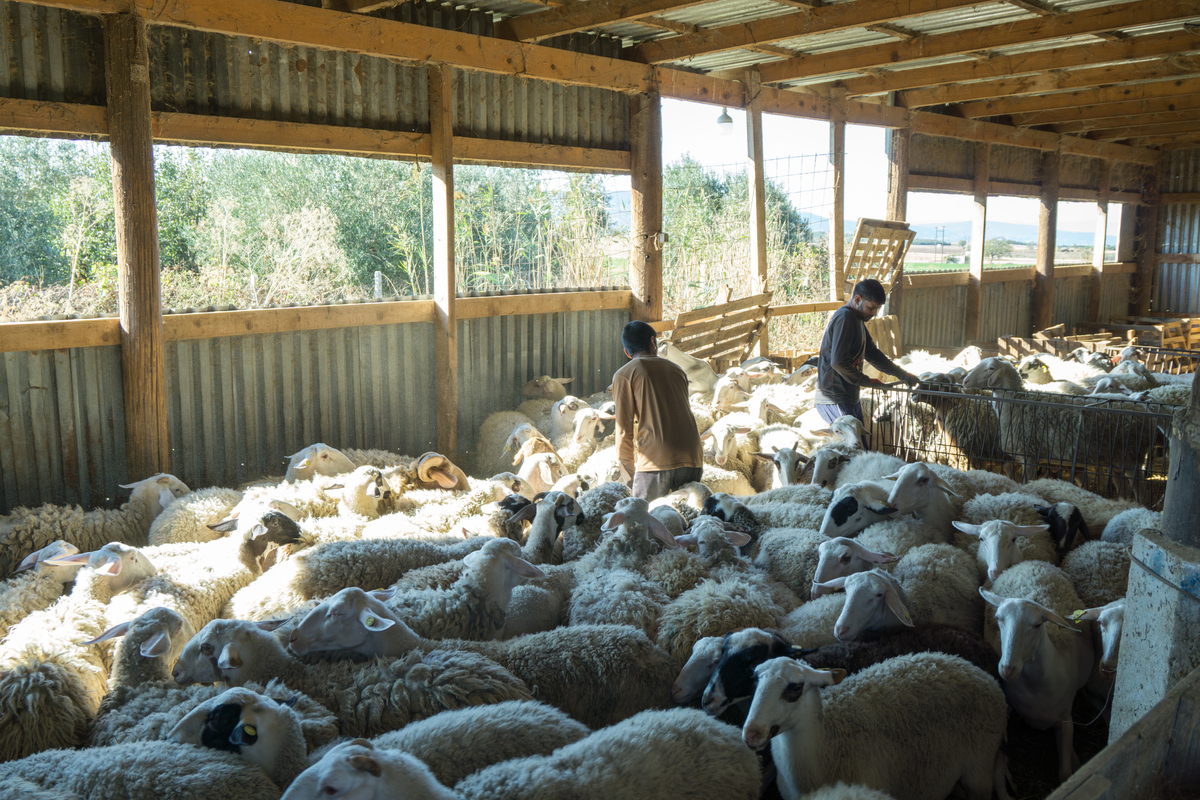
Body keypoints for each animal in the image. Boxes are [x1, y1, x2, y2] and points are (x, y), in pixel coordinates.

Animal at [979, 561, 1094, 777]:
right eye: (998, 618)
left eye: (1037, 625)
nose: (1008, 669)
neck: (1036, 690)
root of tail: (1031, 563)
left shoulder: (1066, 722)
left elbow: (1065, 773)